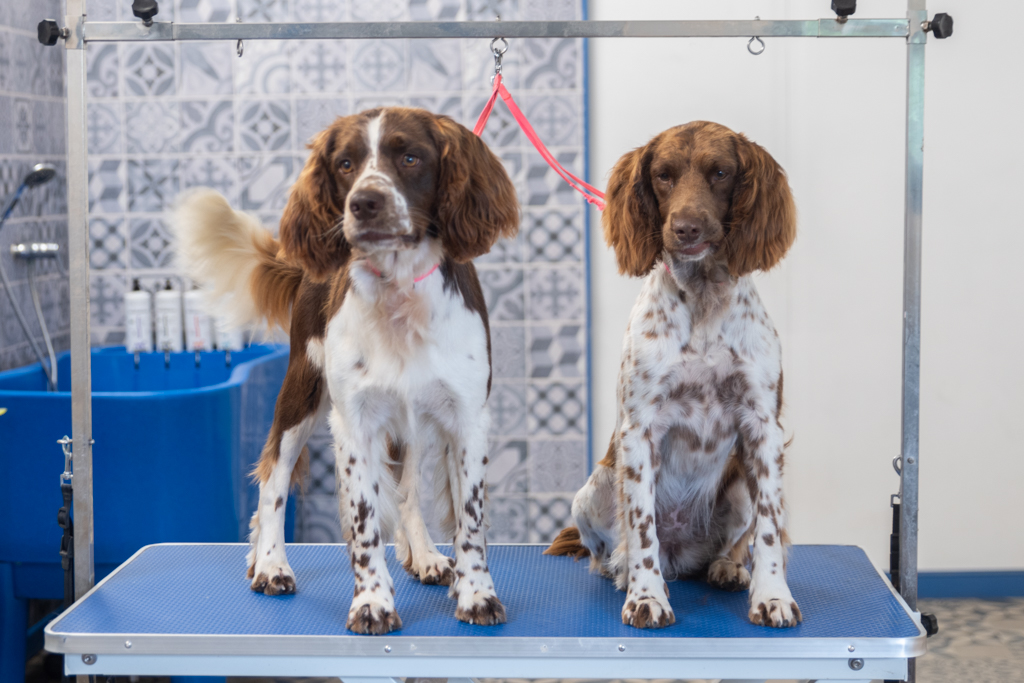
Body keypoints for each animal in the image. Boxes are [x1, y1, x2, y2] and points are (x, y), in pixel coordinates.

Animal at [173, 107, 520, 634]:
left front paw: (475, 592)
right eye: (344, 163)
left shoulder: (466, 417)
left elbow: (470, 520)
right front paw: (372, 602)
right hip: (302, 389)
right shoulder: (354, 422)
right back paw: (270, 563)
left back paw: (424, 556)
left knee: (408, 490)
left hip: (413, 423)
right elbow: (363, 521)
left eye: (411, 157)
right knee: (273, 474)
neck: (400, 292)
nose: (364, 203)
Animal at [548, 121, 802, 630]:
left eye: (721, 172)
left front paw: (772, 596)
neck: (703, 299)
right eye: (663, 175)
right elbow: (642, 527)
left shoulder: (763, 428)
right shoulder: (640, 429)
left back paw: (727, 567)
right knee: (613, 550)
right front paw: (646, 596)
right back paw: (625, 570)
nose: (685, 228)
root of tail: (682, 556)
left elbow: (769, 530)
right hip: (593, 490)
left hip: (737, 485)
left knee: (730, 546)